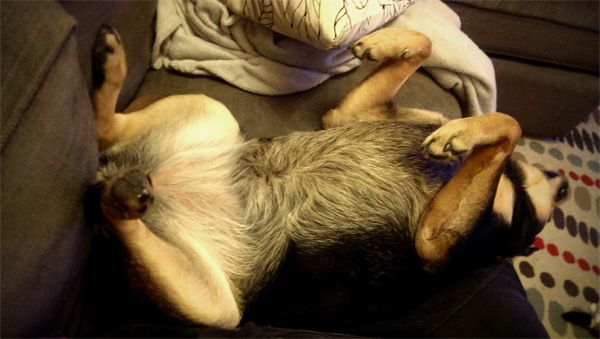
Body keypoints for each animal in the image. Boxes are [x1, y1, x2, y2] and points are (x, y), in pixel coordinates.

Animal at [91, 26, 568, 332]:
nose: (564, 184)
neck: (517, 188)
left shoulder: (432, 243)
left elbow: (510, 123)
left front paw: (460, 135)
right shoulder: (347, 116)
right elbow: (429, 46)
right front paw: (385, 42)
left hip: (216, 308)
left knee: (112, 200)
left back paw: (124, 193)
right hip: (212, 111)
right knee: (105, 130)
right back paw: (109, 70)